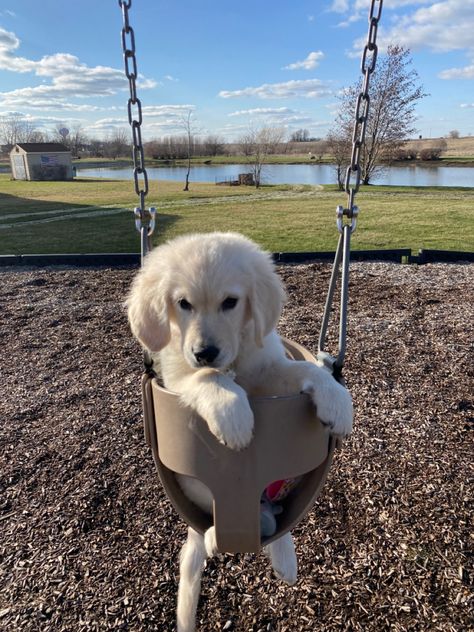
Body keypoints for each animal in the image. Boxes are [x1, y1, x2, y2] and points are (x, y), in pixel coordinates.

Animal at [126, 232, 352, 632]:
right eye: (183, 304)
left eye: (230, 302)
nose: (205, 351)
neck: (234, 362)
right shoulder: (177, 374)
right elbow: (206, 377)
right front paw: (233, 414)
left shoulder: (269, 370)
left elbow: (305, 371)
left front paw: (337, 399)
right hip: (196, 488)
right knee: (218, 528)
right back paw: (217, 538)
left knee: (273, 517)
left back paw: (284, 559)